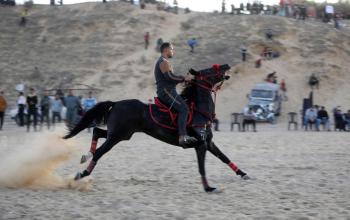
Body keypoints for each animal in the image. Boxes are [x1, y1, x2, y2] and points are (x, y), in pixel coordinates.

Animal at [63, 64, 249, 192]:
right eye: (209, 70)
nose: (226, 65)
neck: (198, 111)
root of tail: (115, 103)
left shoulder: (208, 143)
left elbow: (224, 157)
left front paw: (243, 173)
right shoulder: (200, 145)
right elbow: (202, 167)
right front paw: (208, 188)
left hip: (119, 134)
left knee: (96, 132)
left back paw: (86, 155)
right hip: (116, 137)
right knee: (100, 152)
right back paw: (82, 173)